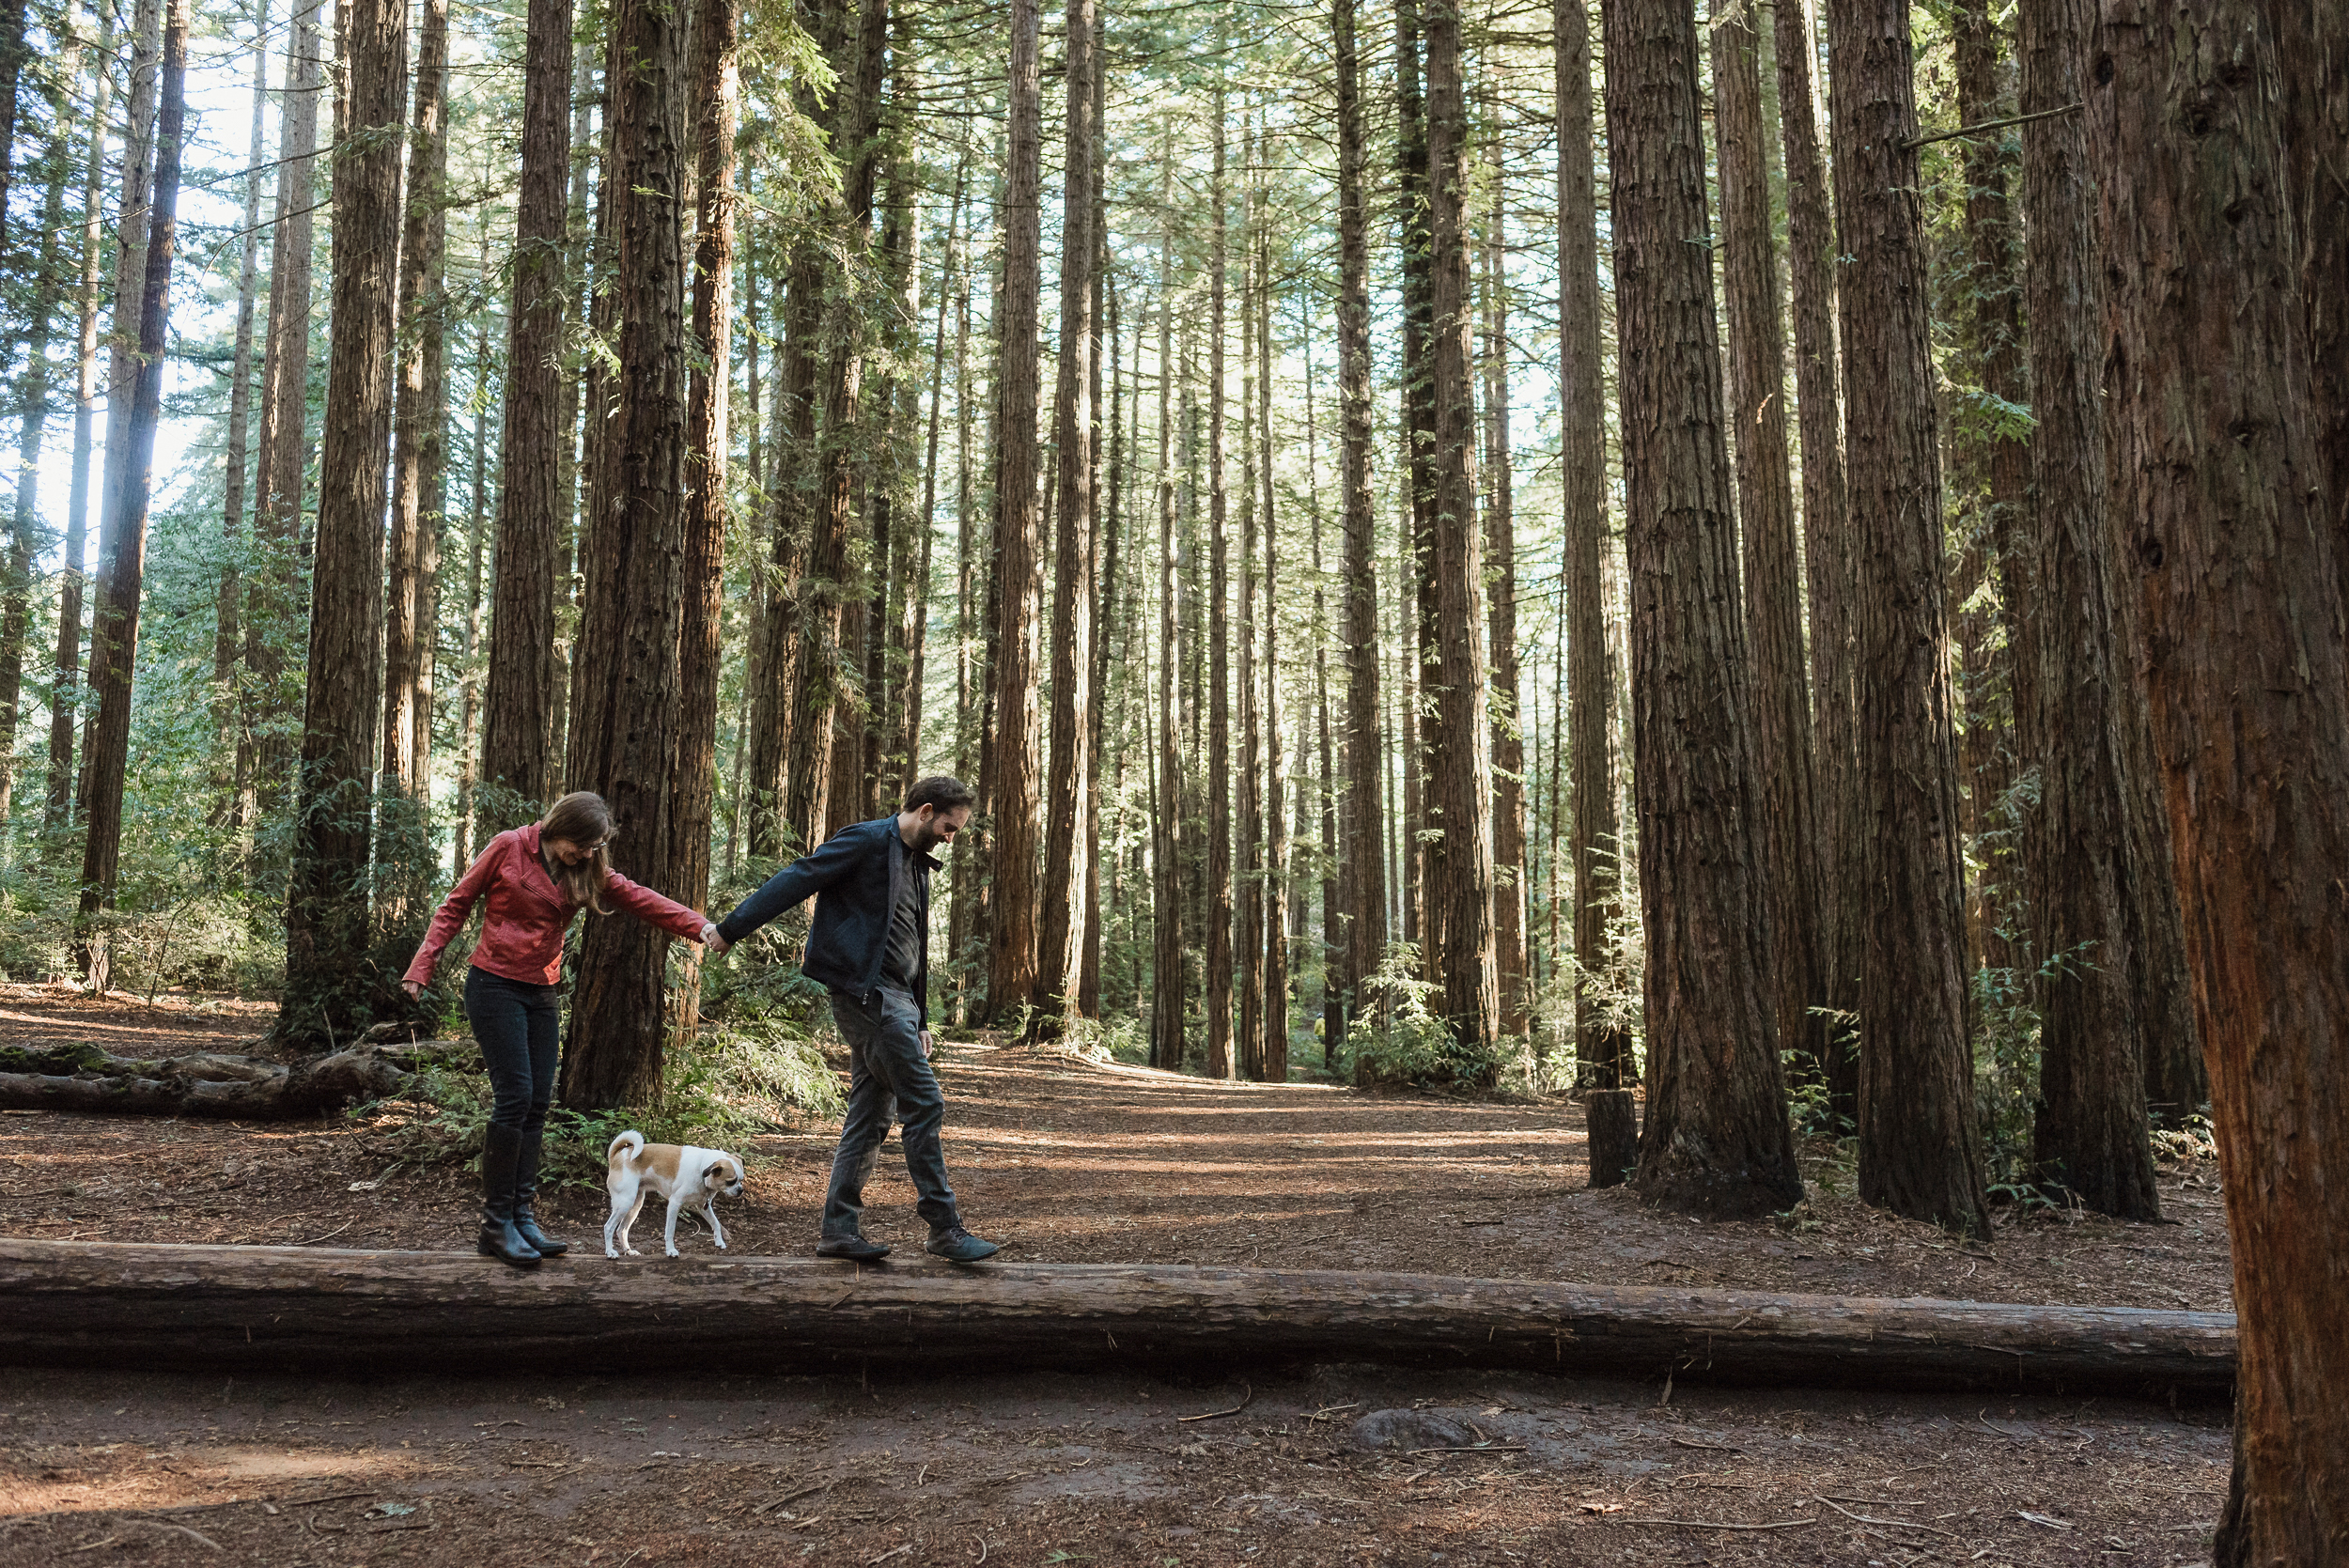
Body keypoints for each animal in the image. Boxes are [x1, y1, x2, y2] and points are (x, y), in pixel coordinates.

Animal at [606, 1126, 742, 1258]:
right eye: (731, 1182)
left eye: (741, 1180)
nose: (741, 1190)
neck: (700, 1168)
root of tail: (616, 1155)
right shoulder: (674, 1204)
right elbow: (670, 1231)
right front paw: (671, 1250)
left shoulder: (704, 1207)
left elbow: (716, 1223)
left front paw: (719, 1242)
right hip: (625, 1203)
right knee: (609, 1227)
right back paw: (610, 1252)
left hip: (634, 1206)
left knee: (621, 1230)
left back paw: (628, 1251)